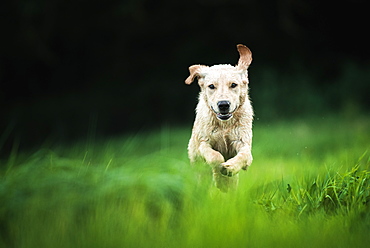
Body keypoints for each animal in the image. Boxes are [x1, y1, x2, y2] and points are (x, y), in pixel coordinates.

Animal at [185, 44, 254, 192]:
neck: (224, 125)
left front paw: (230, 167)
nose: (223, 105)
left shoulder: (242, 142)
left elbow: (244, 155)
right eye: (211, 86)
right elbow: (215, 157)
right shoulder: (203, 143)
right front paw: (220, 175)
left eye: (233, 84)